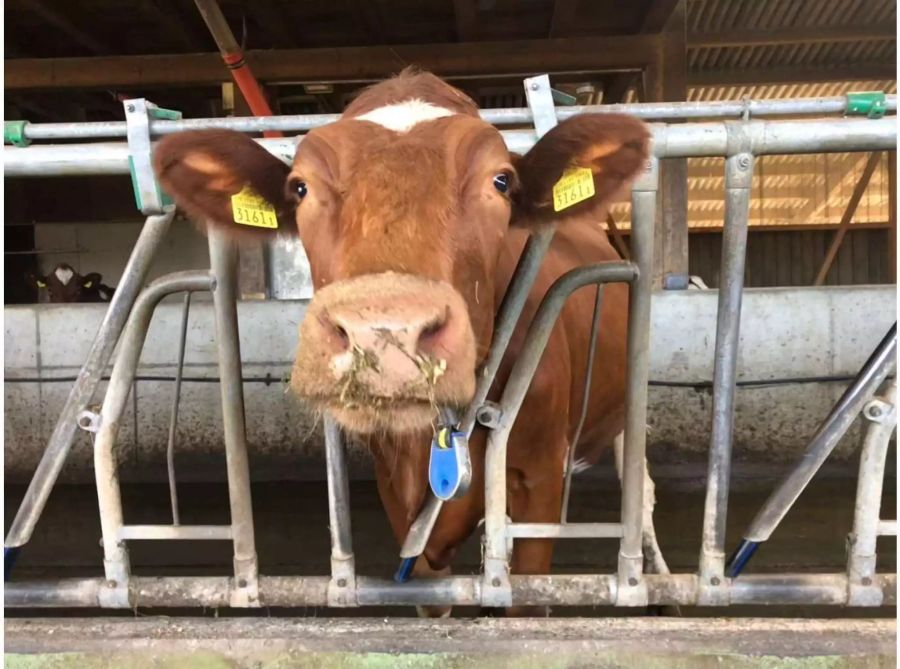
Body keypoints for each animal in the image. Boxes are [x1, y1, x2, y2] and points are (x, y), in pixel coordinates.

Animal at [155, 69, 668, 616]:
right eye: (300, 187)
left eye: (501, 181)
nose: (385, 333)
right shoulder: (395, 488)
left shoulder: (542, 473)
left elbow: (528, 594)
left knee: (642, 494)